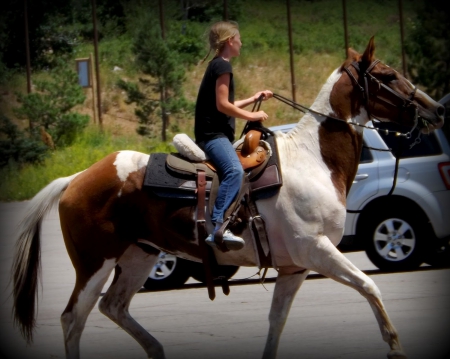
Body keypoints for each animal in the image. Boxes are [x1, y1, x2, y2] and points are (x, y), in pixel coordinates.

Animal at [12, 36, 444, 359]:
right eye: (388, 75)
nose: (437, 109)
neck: (312, 160)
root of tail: (75, 179)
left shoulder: (293, 268)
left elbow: (276, 323)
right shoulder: (317, 250)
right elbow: (369, 286)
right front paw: (395, 347)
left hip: (139, 256)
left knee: (113, 306)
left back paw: (156, 349)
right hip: (95, 263)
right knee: (73, 319)